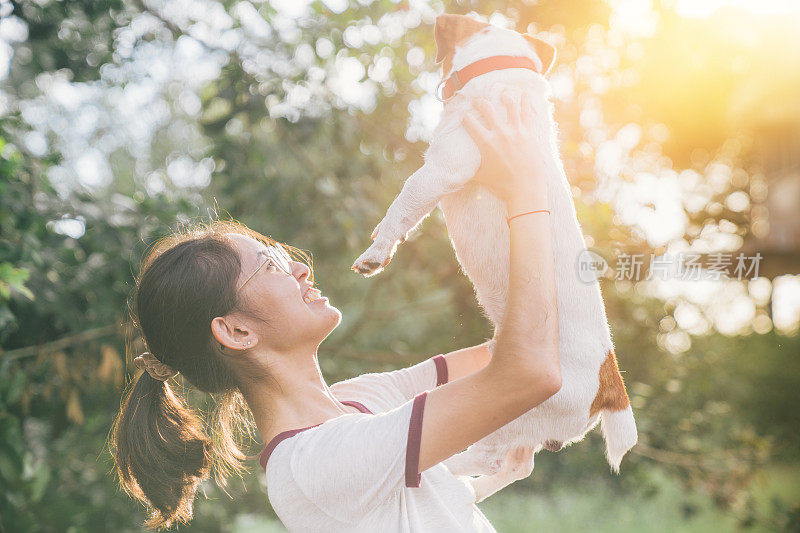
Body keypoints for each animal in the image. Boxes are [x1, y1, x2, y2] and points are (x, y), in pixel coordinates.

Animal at [350, 13, 636, 502]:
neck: (502, 72)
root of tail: (609, 384)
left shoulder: (444, 167)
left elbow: (405, 200)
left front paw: (376, 252)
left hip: (511, 407)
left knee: (490, 455)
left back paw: (443, 469)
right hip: (521, 415)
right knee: (518, 465)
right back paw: (470, 491)